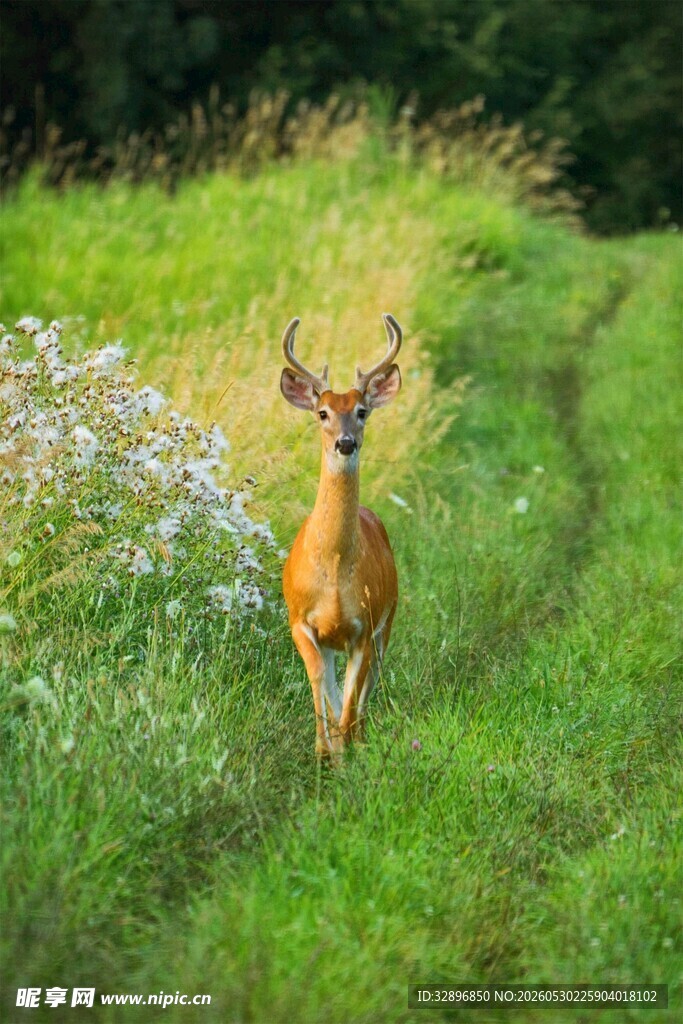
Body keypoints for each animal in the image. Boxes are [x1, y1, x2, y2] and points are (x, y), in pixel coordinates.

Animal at [280, 313, 402, 759]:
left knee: (368, 687)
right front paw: (324, 751)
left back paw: (359, 739)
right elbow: (322, 686)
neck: (333, 568)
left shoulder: (363, 626)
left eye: (362, 411)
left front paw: (346, 751)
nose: (345, 443)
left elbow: (350, 699)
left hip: (389, 619)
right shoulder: (300, 620)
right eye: (322, 412)